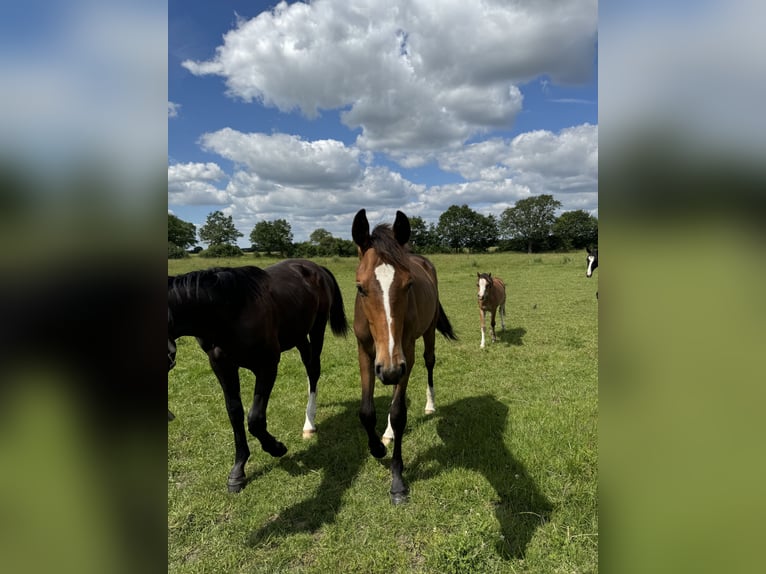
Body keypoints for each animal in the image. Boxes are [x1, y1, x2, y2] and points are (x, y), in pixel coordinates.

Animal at [170, 258, 350, 492]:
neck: (230, 310)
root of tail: (316, 267)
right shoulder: (222, 366)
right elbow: (235, 412)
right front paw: (238, 471)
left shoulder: (267, 365)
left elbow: (255, 418)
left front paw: (277, 448)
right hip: (298, 334)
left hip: (317, 328)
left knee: (314, 369)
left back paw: (309, 424)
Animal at [352, 210, 460, 504]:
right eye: (360, 287)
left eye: (409, 284)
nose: (389, 371)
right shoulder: (366, 353)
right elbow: (366, 410)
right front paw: (377, 447)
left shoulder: (405, 356)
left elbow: (399, 413)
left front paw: (397, 480)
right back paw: (386, 434)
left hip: (427, 334)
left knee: (430, 361)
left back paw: (430, 405)